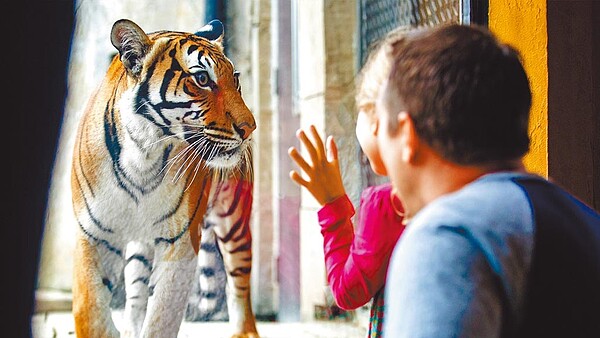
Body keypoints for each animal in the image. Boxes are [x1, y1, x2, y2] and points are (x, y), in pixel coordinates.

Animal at [70, 18, 258, 338]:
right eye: (202, 79)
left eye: (235, 79)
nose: (250, 127)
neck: (142, 155)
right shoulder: (92, 235)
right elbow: (89, 308)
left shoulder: (179, 243)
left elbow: (162, 316)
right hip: (139, 245)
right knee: (136, 293)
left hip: (234, 220)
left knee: (239, 282)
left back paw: (245, 330)